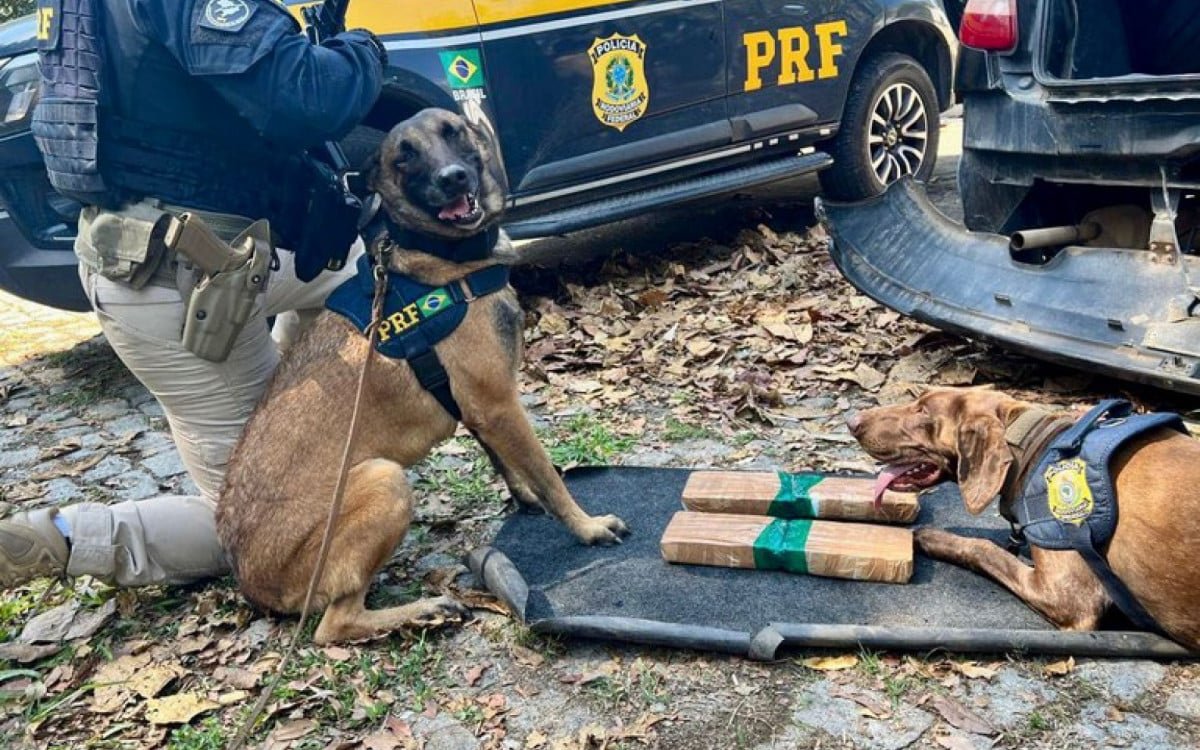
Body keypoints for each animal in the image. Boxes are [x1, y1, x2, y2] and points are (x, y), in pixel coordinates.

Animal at [216, 109, 628, 643]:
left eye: (453, 131)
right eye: (404, 157)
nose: (452, 178)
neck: (440, 257)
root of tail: (249, 581)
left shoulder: (481, 409)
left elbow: (506, 463)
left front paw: (524, 498)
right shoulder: (500, 404)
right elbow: (548, 475)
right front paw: (587, 527)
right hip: (384, 480)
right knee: (333, 624)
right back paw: (424, 611)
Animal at [849, 386, 1200, 648]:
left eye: (923, 412)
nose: (852, 421)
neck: (1037, 444)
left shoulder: (1069, 597)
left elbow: (983, 548)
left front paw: (933, 538)